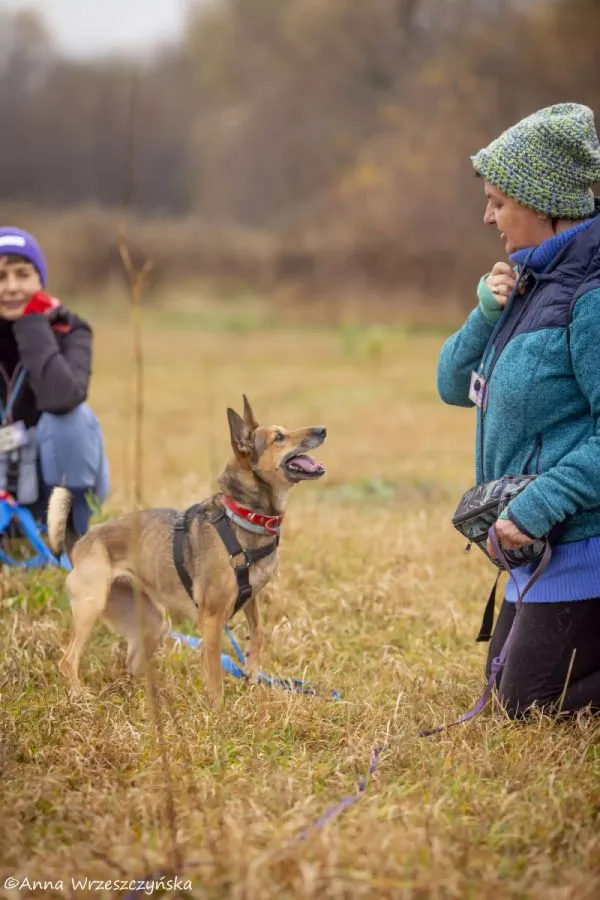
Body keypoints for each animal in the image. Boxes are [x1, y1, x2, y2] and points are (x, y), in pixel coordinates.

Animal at [48, 398, 326, 708]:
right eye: (279, 437)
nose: (322, 430)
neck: (244, 516)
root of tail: (80, 542)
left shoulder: (250, 596)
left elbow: (258, 632)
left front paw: (252, 671)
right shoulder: (212, 618)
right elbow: (215, 674)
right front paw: (217, 711)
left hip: (151, 622)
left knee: (130, 665)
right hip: (92, 605)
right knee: (67, 661)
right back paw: (79, 696)